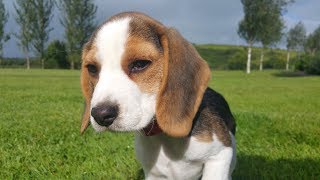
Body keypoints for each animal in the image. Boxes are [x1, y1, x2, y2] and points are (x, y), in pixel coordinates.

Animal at [80, 11, 235, 179]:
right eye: (92, 68)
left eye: (140, 64)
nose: (100, 115)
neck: (164, 138)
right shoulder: (152, 173)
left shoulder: (220, 155)